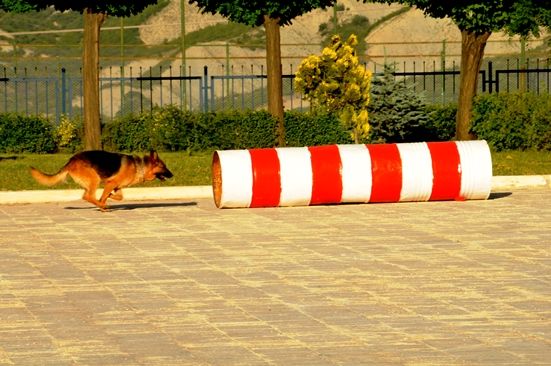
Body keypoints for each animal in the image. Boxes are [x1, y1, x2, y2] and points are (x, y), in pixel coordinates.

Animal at [30, 150, 172, 210]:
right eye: (164, 166)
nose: (172, 175)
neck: (139, 166)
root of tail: (71, 160)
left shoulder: (116, 186)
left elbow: (119, 197)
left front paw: (109, 198)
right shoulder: (111, 183)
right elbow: (106, 196)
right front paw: (103, 203)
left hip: (90, 183)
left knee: (87, 195)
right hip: (95, 179)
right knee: (88, 196)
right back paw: (102, 206)